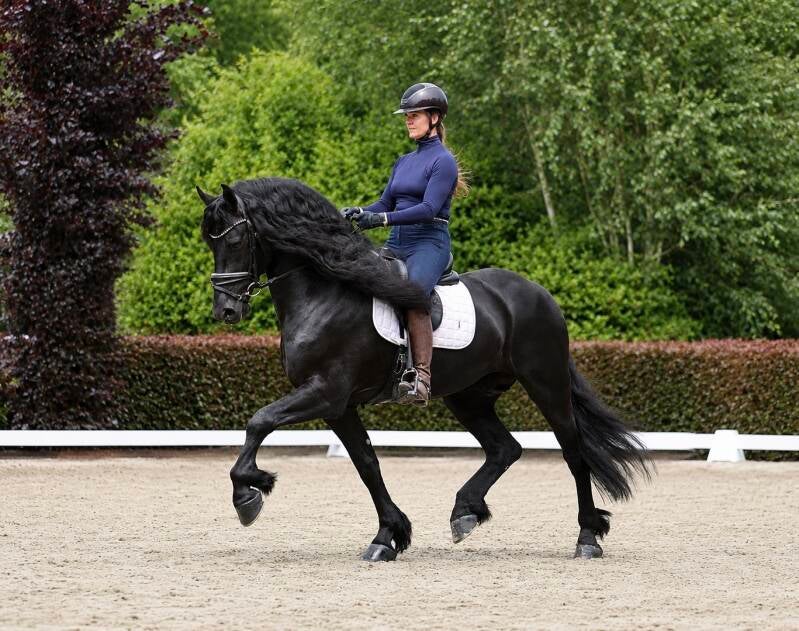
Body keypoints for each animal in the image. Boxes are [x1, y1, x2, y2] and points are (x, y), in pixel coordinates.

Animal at [198, 177, 650, 562]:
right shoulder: (338, 406)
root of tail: (540, 294)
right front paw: (388, 536)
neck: (325, 291)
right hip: (469, 396)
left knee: (573, 452)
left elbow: (259, 420)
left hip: (545, 383)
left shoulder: (325, 391)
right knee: (505, 448)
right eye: (209, 242)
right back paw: (465, 512)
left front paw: (249, 494)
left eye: (235, 238)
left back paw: (587, 538)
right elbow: (367, 464)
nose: (226, 311)